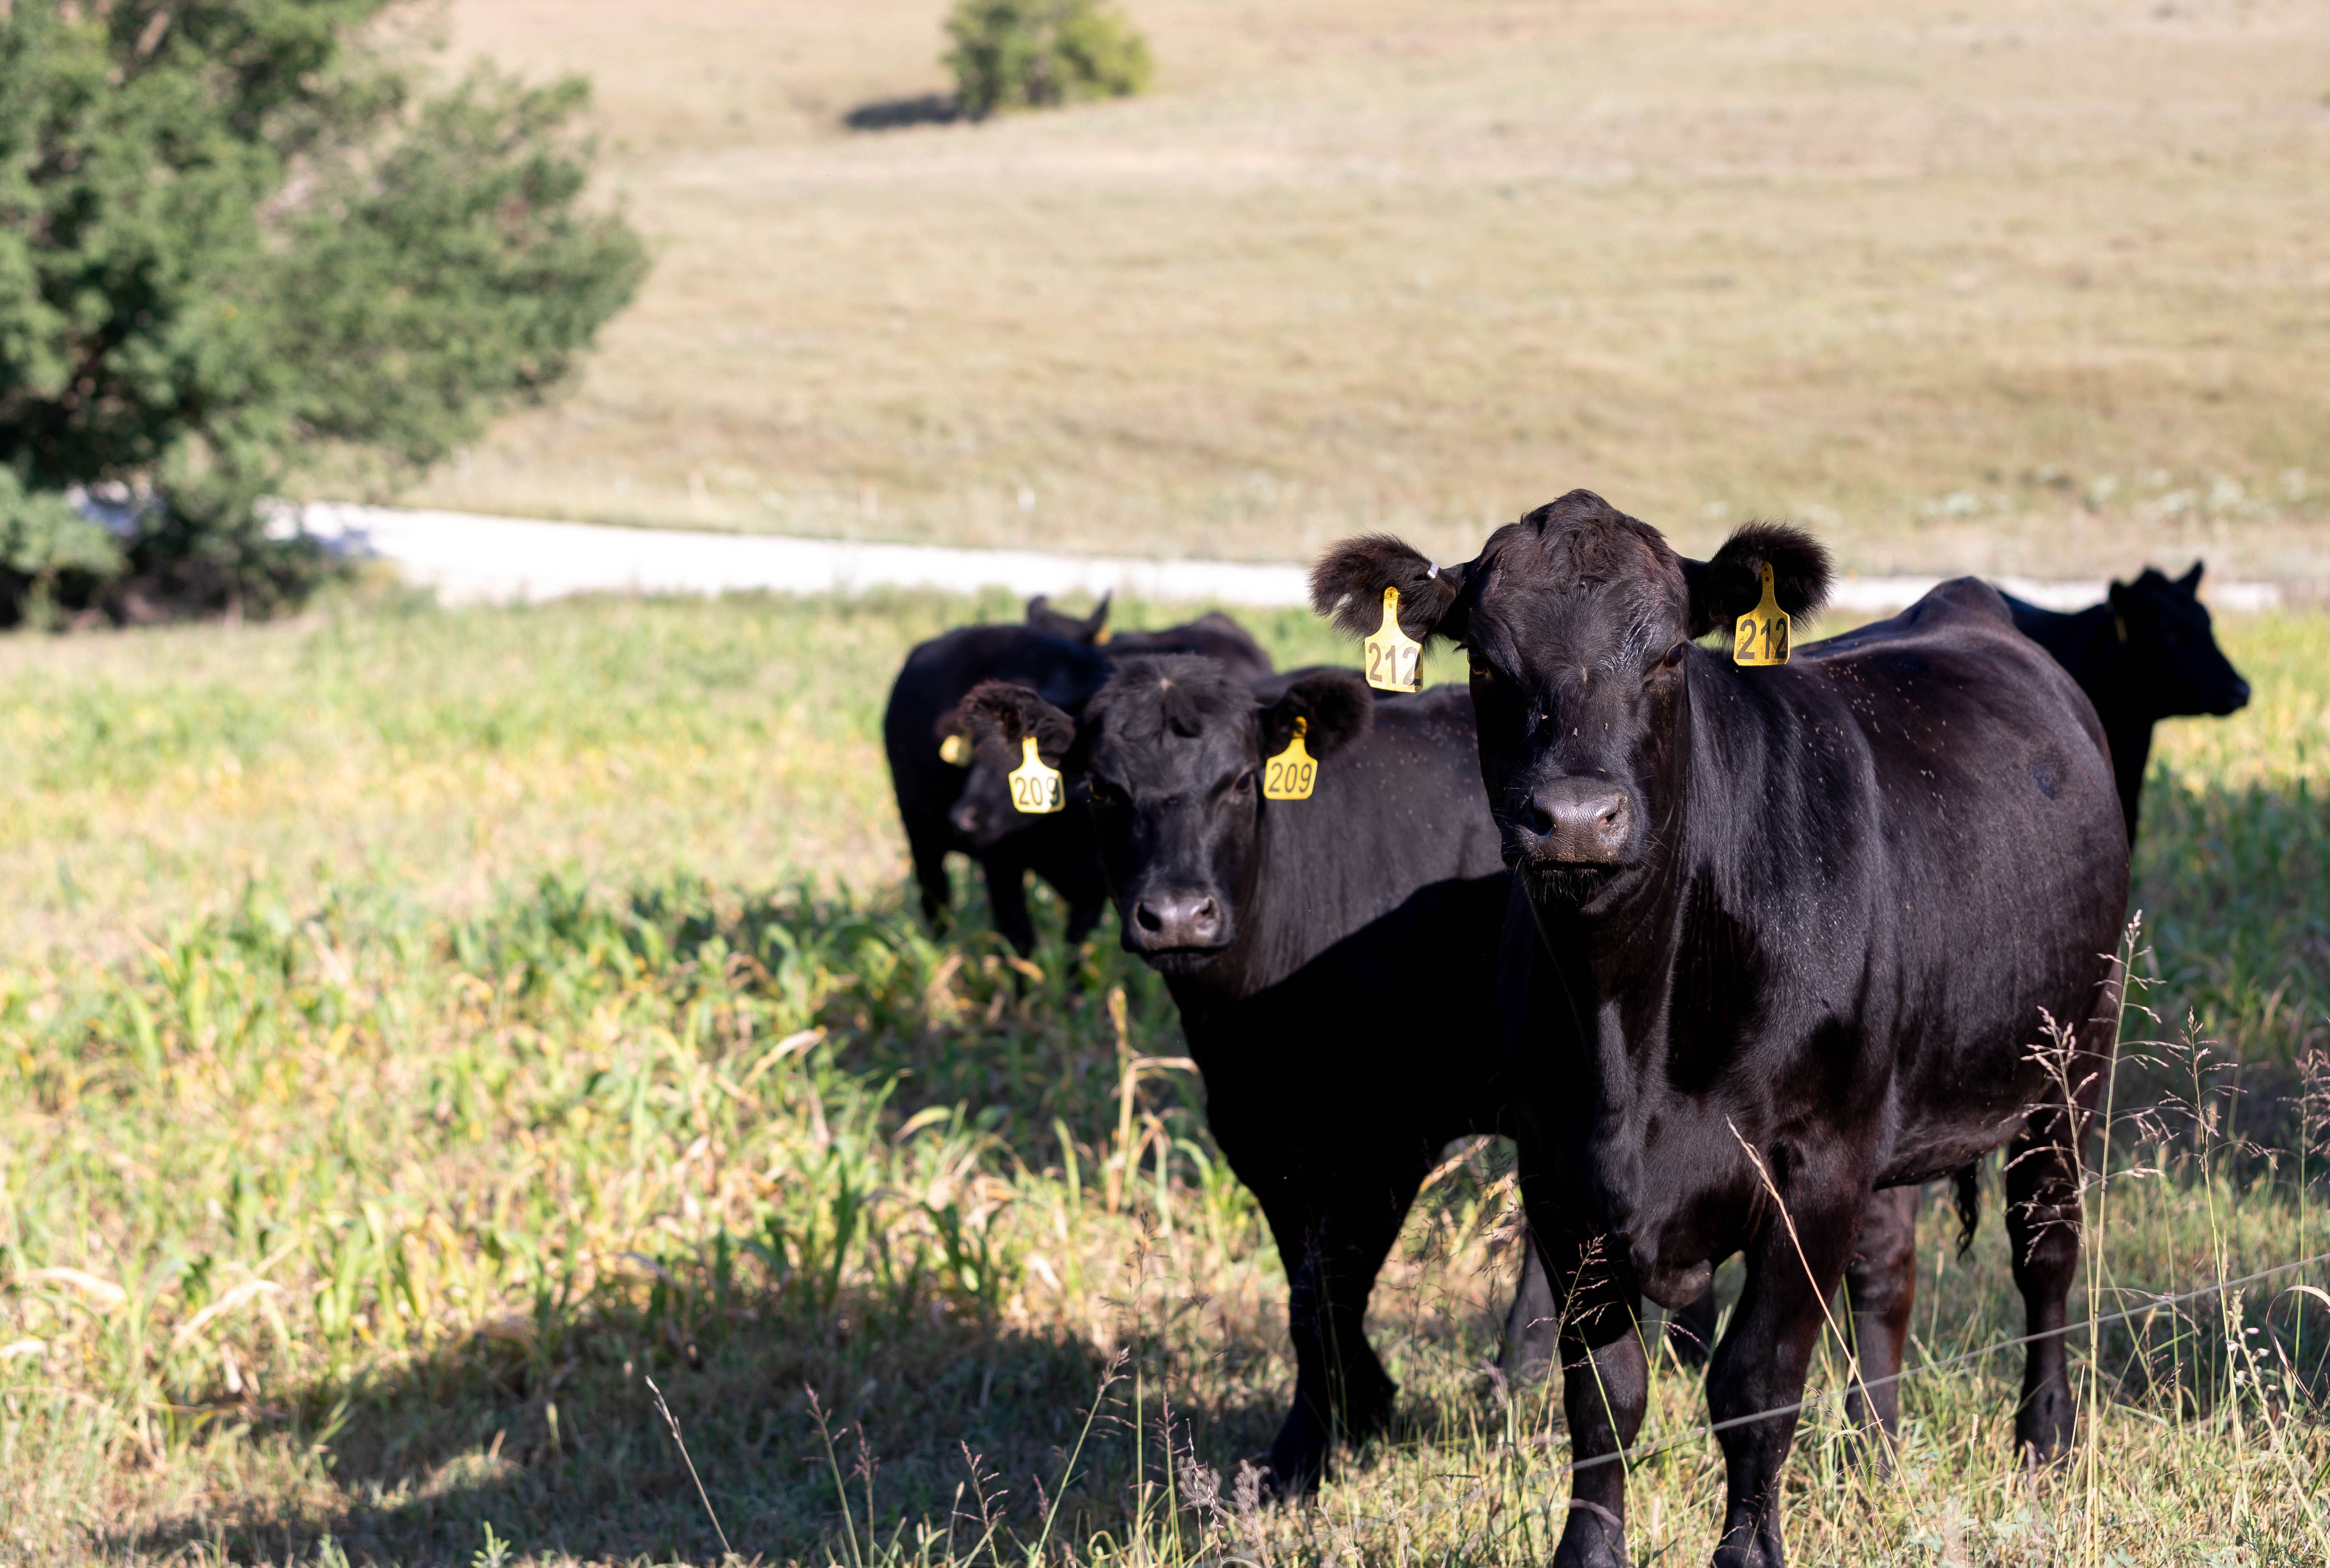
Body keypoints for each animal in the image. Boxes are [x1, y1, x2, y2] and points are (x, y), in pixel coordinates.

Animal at [883, 601, 1273, 957]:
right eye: (981, 749)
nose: (967, 817)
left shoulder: (1095, 885)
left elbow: (1075, 948)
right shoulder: (1001, 866)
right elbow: (1021, 946)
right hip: (921, 838)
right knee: (937, 909)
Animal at [957, 657, 1553, 1497]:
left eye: (1240, 781)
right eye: (1101, 788)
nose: (1177, 915)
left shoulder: (1385, 1138)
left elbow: (1322, 1293)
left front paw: (1303, 1452)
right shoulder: (1259, 1133)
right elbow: (1306, 1290)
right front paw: (1357, 1410)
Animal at [1311, 491, 2129, 1568]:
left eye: (1666, 654)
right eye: (1484, 660)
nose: (1576, 817)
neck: (1630, 1035)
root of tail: (1963, 605)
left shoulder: (1810, 1169)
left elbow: (1752, 1384)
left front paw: (1748, 1549)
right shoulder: (1559, 1178)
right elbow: (1603, 1398)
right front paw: (1588, 1553)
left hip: (2067, 1068)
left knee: (2043, 1253)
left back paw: (2042, 1448)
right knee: (1886, 1274)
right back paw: (1874, 1457)